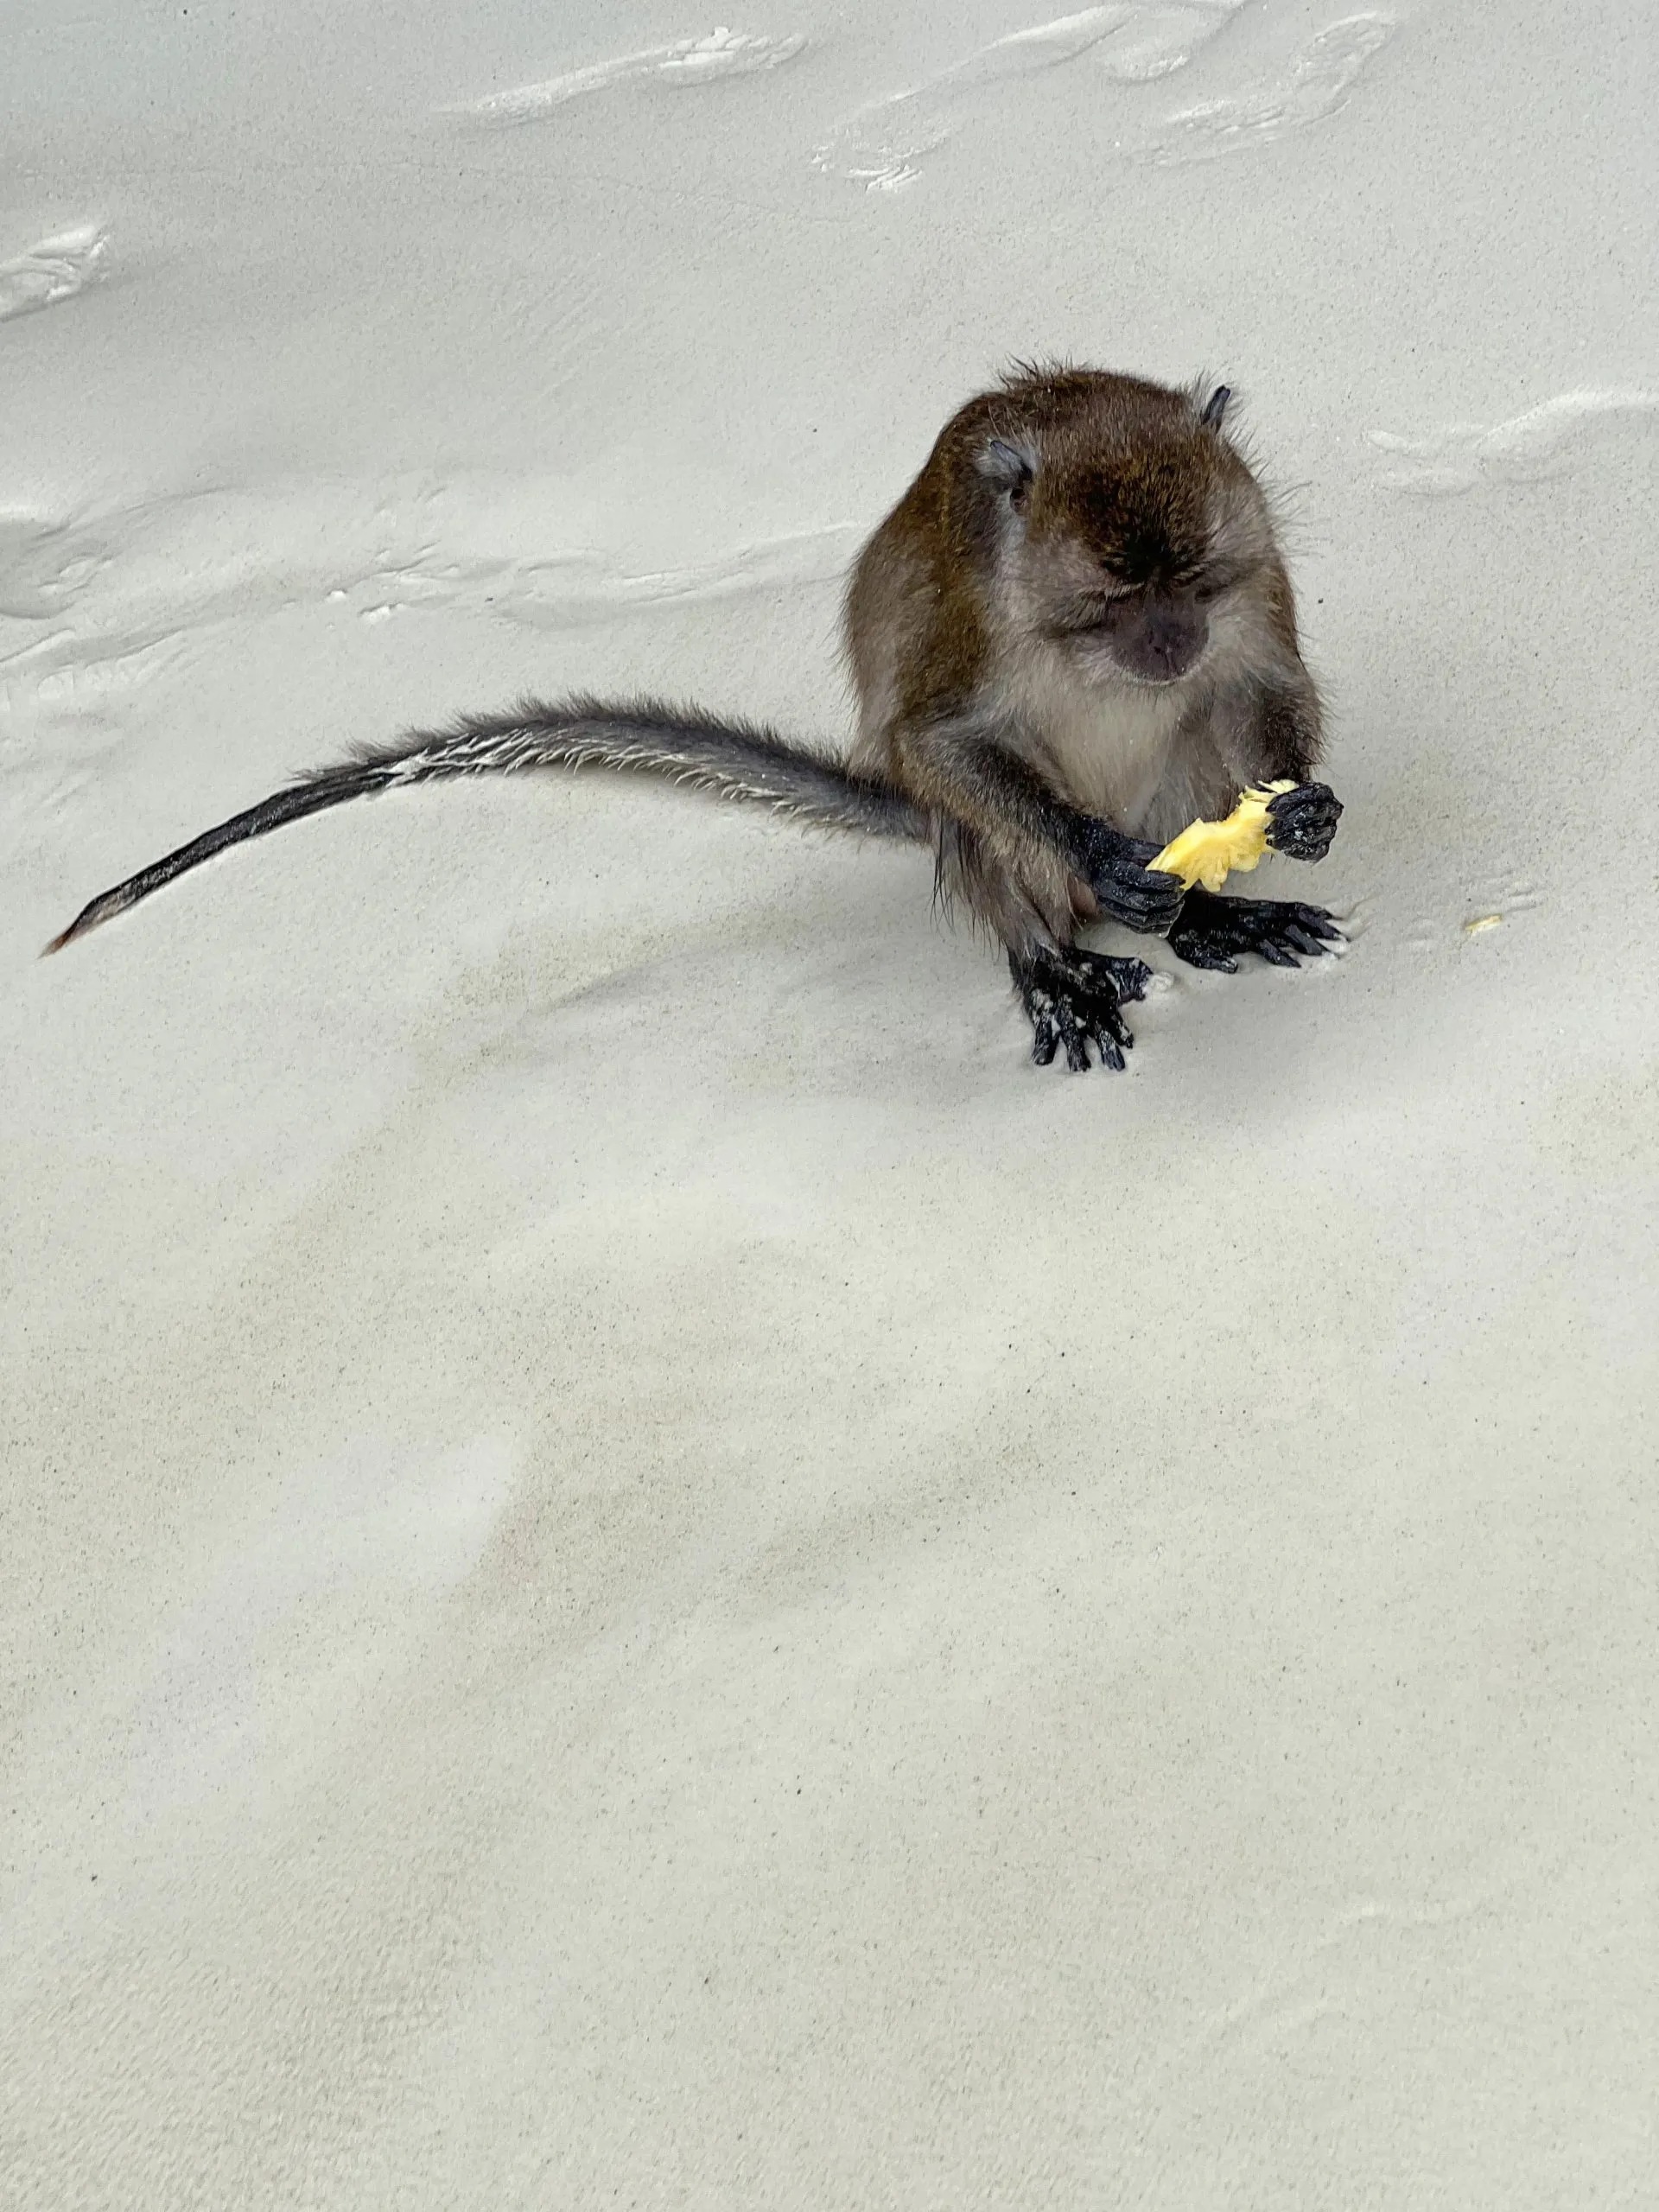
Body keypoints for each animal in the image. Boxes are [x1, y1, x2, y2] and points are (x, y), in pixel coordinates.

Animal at [45, 365, 1342, 1071]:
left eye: (1193, 583)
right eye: (1115, 599)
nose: (1168, 645)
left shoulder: (1254, 567)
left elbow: (1253, 687)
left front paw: (1302, 807)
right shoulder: (977, 623)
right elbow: (939, 742)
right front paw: (1103, 862)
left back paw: (1206, 913)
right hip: (989, 846)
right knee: (973, 825)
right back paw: (1053, 957)